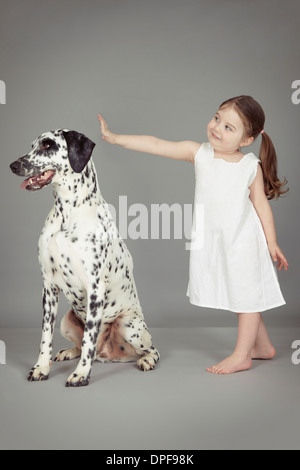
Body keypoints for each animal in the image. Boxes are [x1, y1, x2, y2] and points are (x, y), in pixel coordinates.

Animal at [9, 129, 159, 386]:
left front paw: (81, 374)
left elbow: (89, 336)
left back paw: (146, 360)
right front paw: (41, 368)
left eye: (48, 145)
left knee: (150, 349)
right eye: (32, 146)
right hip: (66, 321)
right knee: (79, 346)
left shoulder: (95, 287)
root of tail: (106, 354)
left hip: (128, 324)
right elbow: (45, 335)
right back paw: (67, 352)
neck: (67, 214)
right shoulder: (48, 286)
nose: (13, 165)